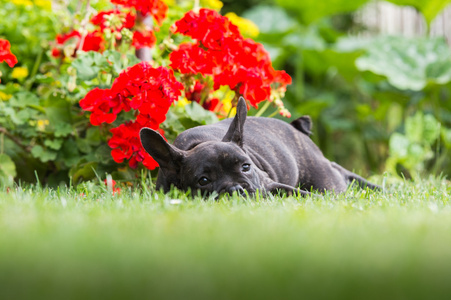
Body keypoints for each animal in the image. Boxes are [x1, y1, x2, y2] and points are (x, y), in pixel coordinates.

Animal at [139, 96, 380, 197]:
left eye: (246, 167)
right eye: (203, 181)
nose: (236, 189)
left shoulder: (270, 184)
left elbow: (305, 195)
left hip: (324, 180)